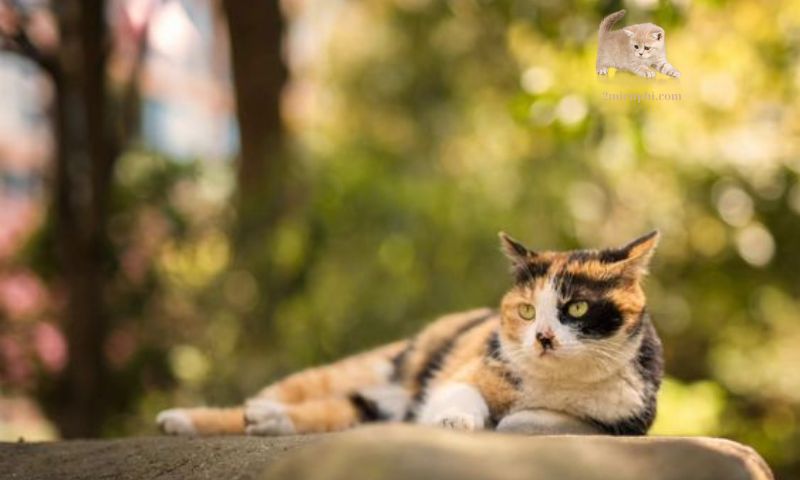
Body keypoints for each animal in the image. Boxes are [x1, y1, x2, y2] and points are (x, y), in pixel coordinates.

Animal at [156, 231, 664, 436]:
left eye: (576, 307)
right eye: (525, 310)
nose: (542, 338)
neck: (555, 382)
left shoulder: (623, 418)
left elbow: (542, 418)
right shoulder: (468, 373)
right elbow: (461, 395)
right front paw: (455, 422)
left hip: (372, 405)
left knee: (332, 412)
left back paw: (265, 421)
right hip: (359, 371)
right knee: (275, 396)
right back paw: (182, 419)